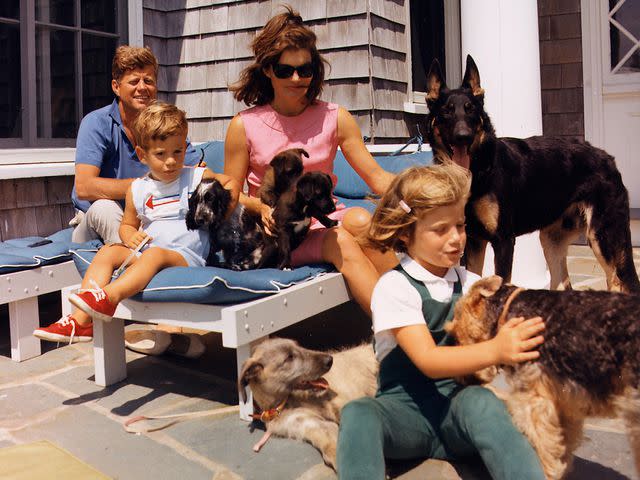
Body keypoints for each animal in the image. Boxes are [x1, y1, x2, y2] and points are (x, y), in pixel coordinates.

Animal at [424, 52, 640, 292]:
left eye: (471, 109)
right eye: (446, 111)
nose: (463, 136)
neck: (478, 169)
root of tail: (608, 158)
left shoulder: (503, 241)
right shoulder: (474, 240)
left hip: (602, 238)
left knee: (618, 283)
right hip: (551, 241)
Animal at [448, 276, 640, 480]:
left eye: (454, 335)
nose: (461, 381)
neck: (508, 312)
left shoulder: (534, 401)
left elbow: (543, 449)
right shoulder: (564, 403)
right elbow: (561, 448)